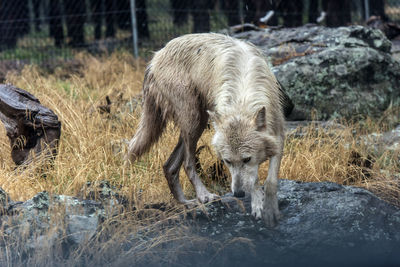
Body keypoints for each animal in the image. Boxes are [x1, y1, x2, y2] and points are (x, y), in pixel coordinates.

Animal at [126, 32, 286, 227]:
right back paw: (204, 196)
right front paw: (258, 205)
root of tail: (154, 58)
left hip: (198, 122)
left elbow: (270, 181)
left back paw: (186, 203)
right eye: (227, 161)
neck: (243, 95)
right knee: (187, 164)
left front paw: (269, 210)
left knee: (169, 166)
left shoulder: (278, 135)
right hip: (193, 121)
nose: (238, 194)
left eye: (246, 159)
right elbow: (254, 178)